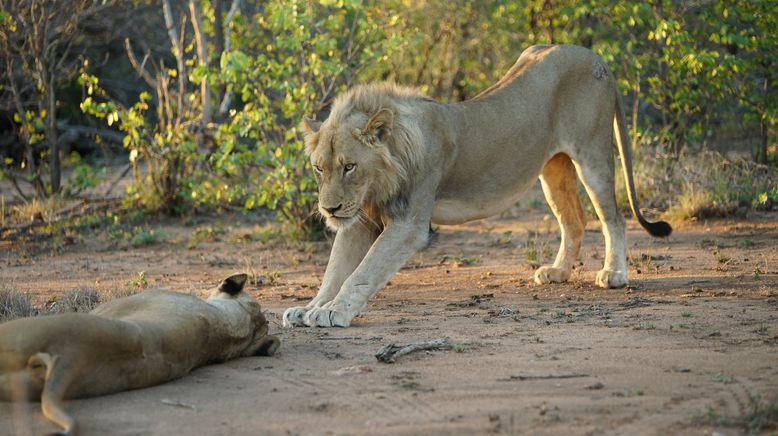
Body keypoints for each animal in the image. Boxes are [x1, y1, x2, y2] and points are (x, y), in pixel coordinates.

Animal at [282, 46, 668, 328]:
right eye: (319, 168)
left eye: (349, 167)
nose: (329, 209)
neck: (379, 180)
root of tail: (596, 56)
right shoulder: (359, 220)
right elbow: (335, 270)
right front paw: (310, 307)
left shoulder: (409, 225)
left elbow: (362, 273)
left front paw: (333, 311)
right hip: (552, 169)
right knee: (574, 220)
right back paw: (558, 272)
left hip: (593, 155)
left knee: (613, 217)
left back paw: (614, 274)